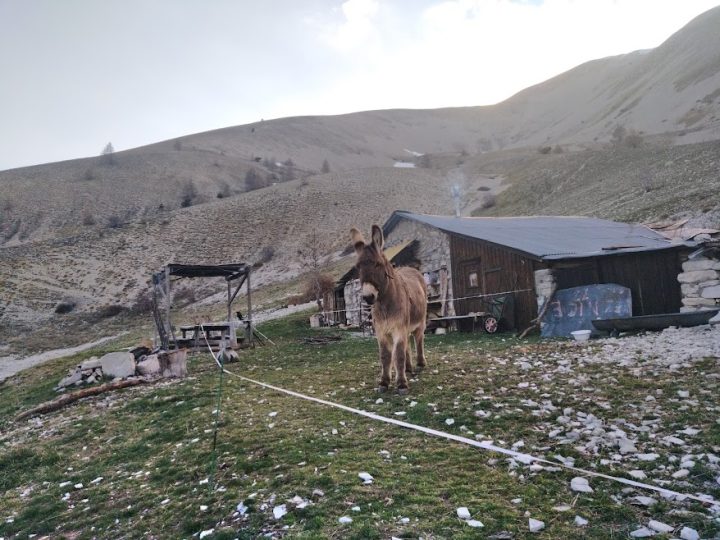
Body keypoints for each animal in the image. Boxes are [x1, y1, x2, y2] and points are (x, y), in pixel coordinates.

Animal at [351, 225, 427, 394]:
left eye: (378, 264)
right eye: (358, 267)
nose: (368, 297)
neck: (385, 304)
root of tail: (411, 269)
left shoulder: (398, 328)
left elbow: (398, 355)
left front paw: (401, 384)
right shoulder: (381, 331)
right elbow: (386, 356)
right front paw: (384, 382)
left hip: (420, 322)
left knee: (418, 340)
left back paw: (420, 364)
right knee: (406, 345)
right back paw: (408, 369)